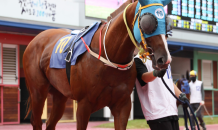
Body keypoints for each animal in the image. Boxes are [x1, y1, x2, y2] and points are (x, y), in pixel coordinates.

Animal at [23, 0, 171, 129]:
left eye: (167, 24)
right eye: (147, 22)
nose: (164, 59)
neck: (110, 58)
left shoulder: (122, 105)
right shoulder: (84, 104)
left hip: (60, 95)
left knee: (50, 123)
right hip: (38, 91)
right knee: (37, 121)